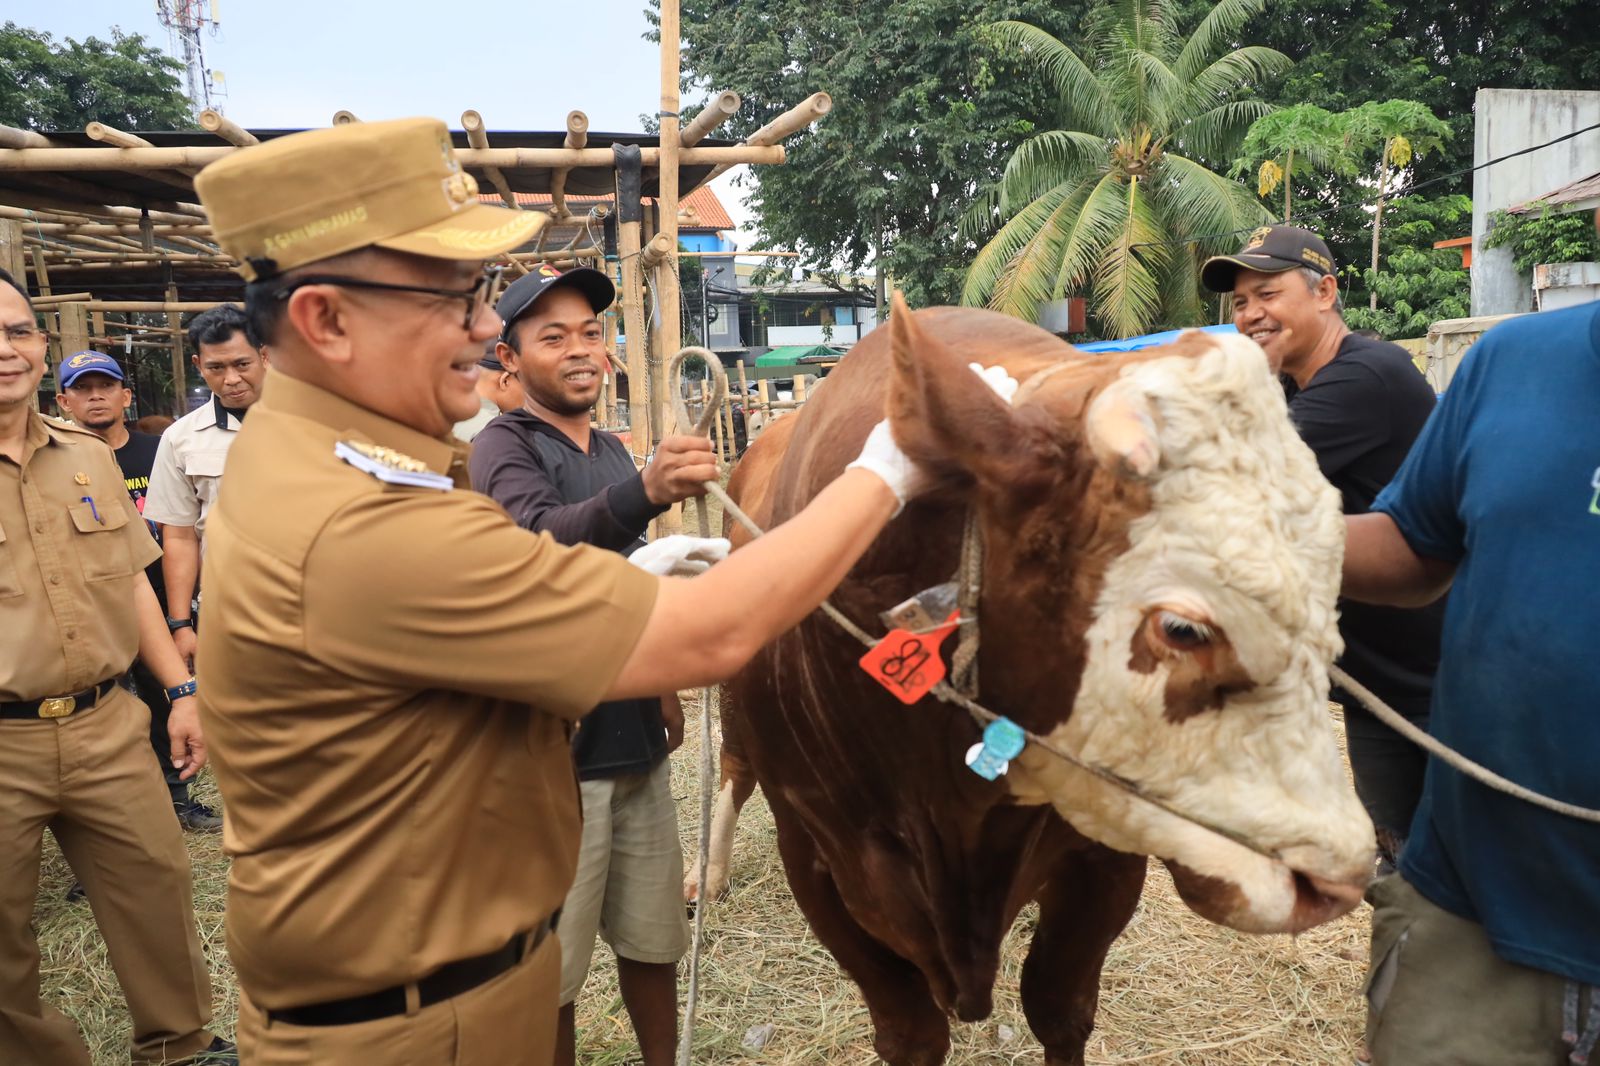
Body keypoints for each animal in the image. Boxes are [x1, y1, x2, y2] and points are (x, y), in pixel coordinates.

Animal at [697, 296, 1376, 1062]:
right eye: (1181, 628)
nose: (1338, 876)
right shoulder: (817, 863)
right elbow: (910, 1031)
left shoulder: (1103, 857)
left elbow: (1059, 1006)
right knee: (733, 766)